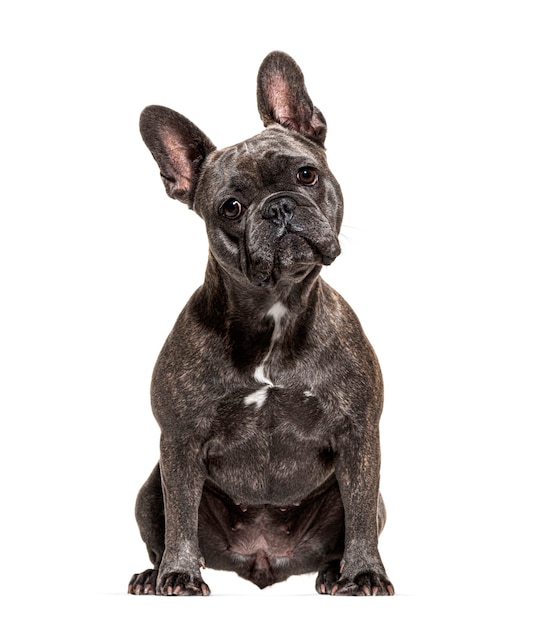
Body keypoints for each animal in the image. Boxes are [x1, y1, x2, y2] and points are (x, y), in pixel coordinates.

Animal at [130, 51, 398, 592]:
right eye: (231, 207)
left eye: (306, 175)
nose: (278, 207)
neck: (275, 310)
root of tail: (264, 558)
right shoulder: (180, 441)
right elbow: (180, 515)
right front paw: (179, 574)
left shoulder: (359, 434)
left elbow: (359, 515)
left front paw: (364, 573)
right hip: (148, 489)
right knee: (162, 525)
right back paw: (153, 573)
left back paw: (335, 573)